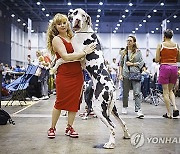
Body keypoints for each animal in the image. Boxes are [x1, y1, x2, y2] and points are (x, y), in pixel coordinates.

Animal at [54, 8, 130, 149]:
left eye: (82, 15)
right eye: (75, 13)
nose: (77, 20)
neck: (83, 32)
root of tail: (111, 88)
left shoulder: (76, 55)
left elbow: (61, 59)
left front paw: (53, 67)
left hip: (98, 107)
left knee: (112, 126)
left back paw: (110, 144)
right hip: (111, 108)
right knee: (122, 122)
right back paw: (126, 135)